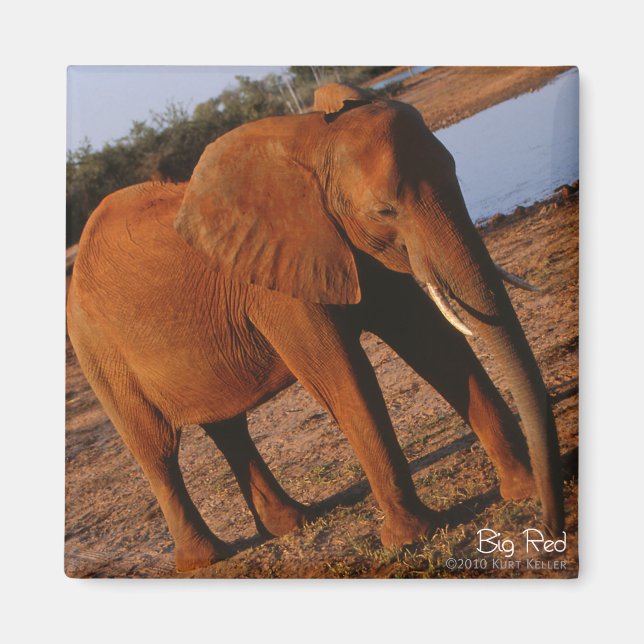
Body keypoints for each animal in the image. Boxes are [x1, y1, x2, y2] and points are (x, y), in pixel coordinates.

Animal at [67, 85, 563, 572]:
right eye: (384, 210)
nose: (549, 532)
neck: (314, 143)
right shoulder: (274, 281)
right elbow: (342, 378)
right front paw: (409, 537)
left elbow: (431, 342)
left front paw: (520, 489)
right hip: (98, 353)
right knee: (157, 450)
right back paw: (205, 559)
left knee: (229, 427)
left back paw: (292, 523)